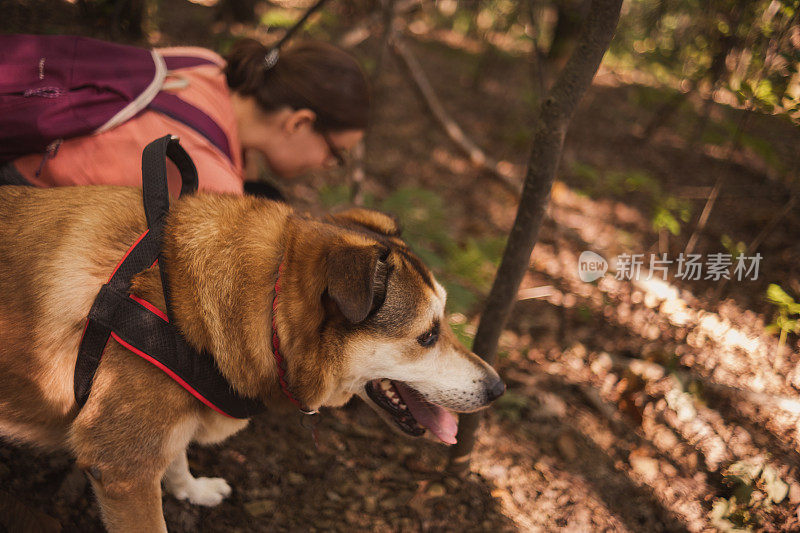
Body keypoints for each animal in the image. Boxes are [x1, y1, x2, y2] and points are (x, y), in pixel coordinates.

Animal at [0, 185, 504, 528]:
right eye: (428, 335)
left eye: (444, 322)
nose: (498, 388)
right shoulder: (121, 467)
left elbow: (177, 453)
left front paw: (190, 489)